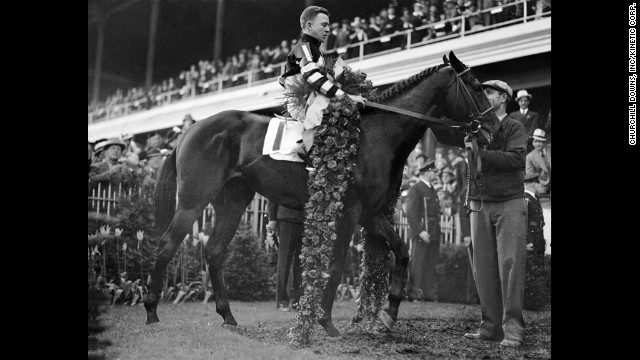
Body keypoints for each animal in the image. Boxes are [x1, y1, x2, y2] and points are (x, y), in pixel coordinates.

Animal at [145, 51, 500, 338]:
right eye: (477, 87)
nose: (493, 129)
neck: (375, 137)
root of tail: (190, 130)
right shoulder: (349, 213)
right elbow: (337, 264)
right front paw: (326, 322)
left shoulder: (372, 215)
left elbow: (401, 252)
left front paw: (388, 313)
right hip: (193, 200)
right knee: (166, 245)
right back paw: (151, 312)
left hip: (233, 200)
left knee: (215, 250)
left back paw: (228, 316)